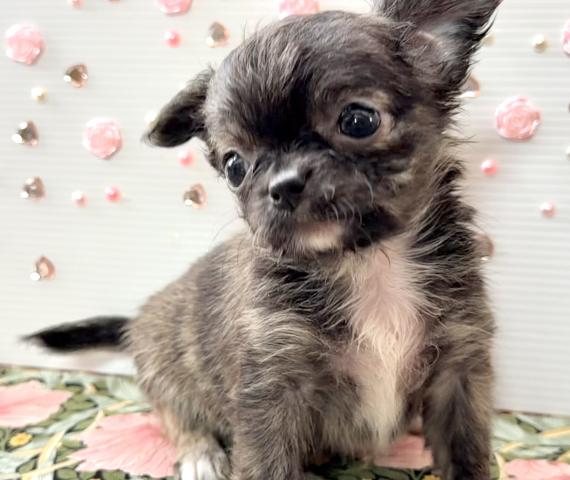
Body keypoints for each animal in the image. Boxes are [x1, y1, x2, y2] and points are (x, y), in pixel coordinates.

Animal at [27, 1, 502, 479]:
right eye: (235, 166)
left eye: (359, 121)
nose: (284, 184)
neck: (367, 262)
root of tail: (135, 322)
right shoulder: (272, 387)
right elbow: (265, 464)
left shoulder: (459, 371)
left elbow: (467, 453)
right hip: (167, 371)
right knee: (176, 415)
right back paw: (201, 455)